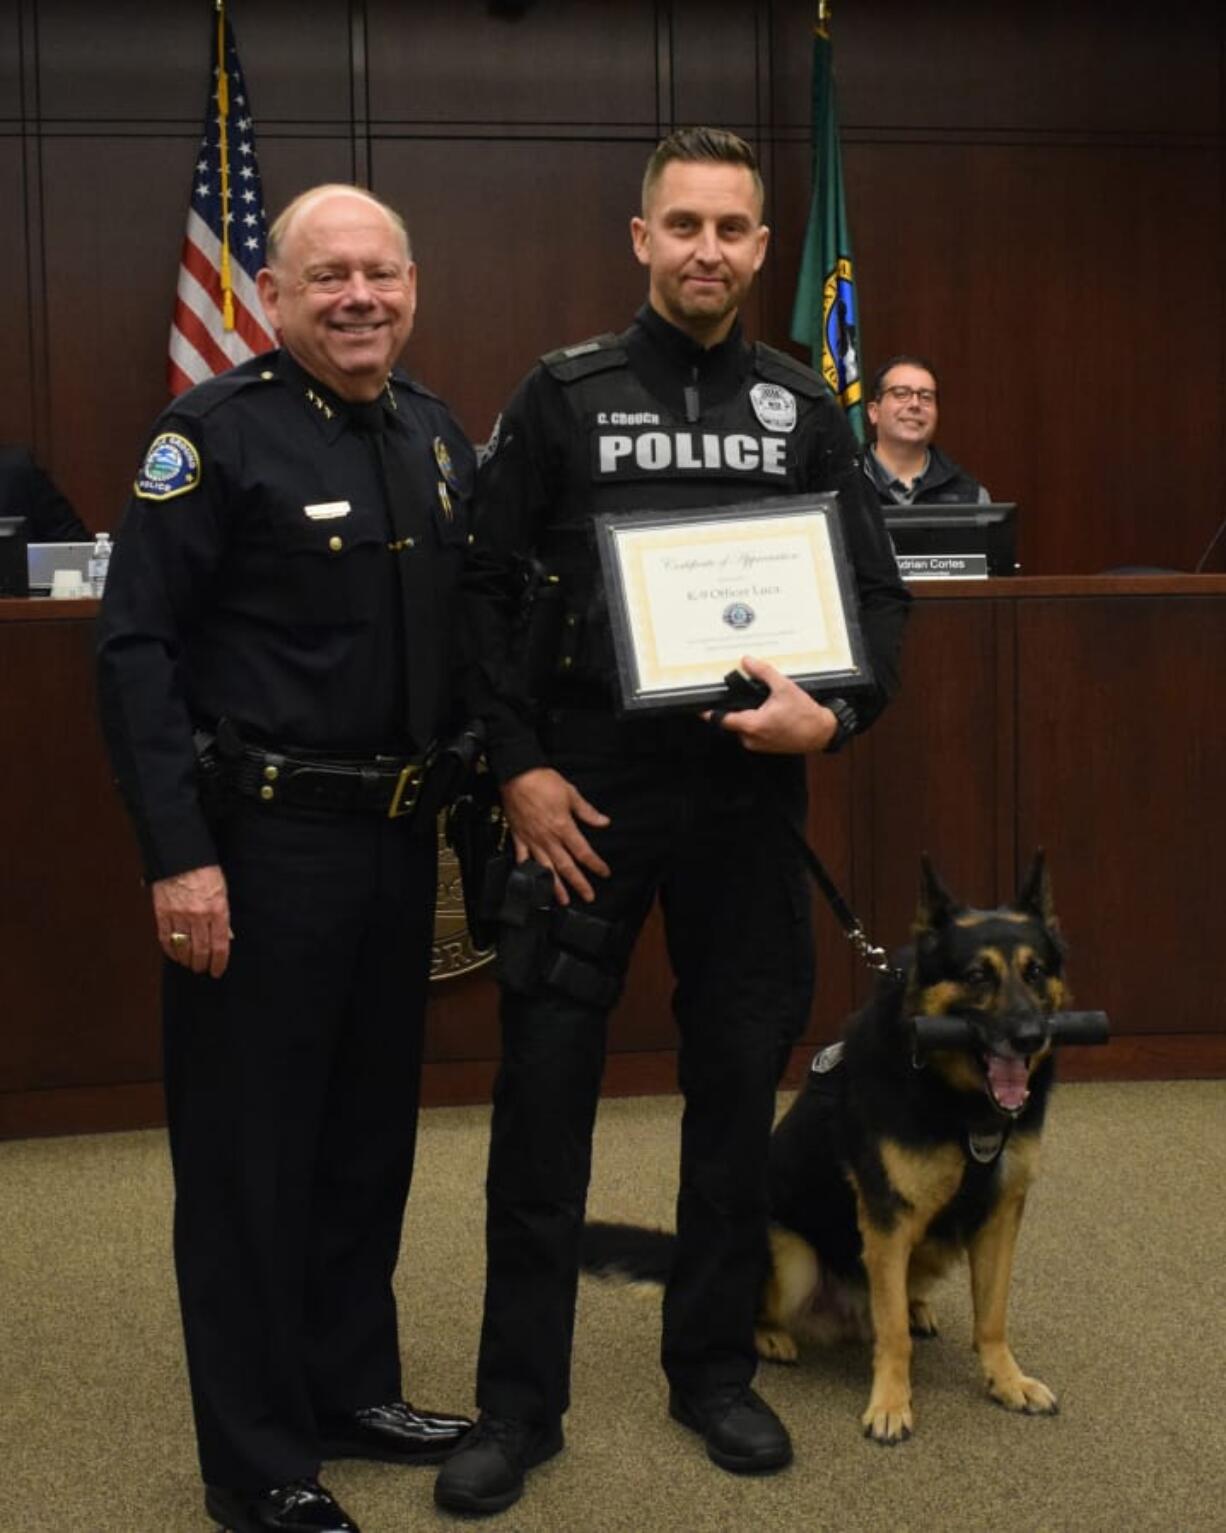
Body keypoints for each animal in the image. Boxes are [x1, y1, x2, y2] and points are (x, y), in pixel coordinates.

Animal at [579, 858, 1066, 1441]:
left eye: (1035, 972)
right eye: (977, 976)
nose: (1030, 1036)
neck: (959, 1104)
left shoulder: (1000, 1216)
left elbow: (991, 1317)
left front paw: (1006, 1380)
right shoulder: (886, 1221)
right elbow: (892, 1335)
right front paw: (891, 1404)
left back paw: (917, 1305)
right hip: (795, 1257)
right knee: (766, 1311)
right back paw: (772, 1336)